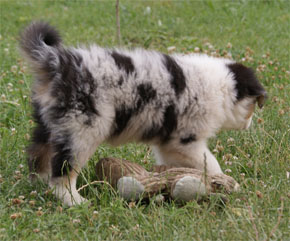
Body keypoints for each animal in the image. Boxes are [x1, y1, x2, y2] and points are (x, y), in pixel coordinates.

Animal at [19, 22, 266, 205]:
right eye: (253, 106)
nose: (250, 124)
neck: (221, 87)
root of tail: (57, 63)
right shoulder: (185, 140)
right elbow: (210, 163)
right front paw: (225, 182)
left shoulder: (169, 146)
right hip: (82, 129)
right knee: (63, 171)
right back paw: (74, 200)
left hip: (49, 124)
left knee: (38, 154)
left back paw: (38, 182)